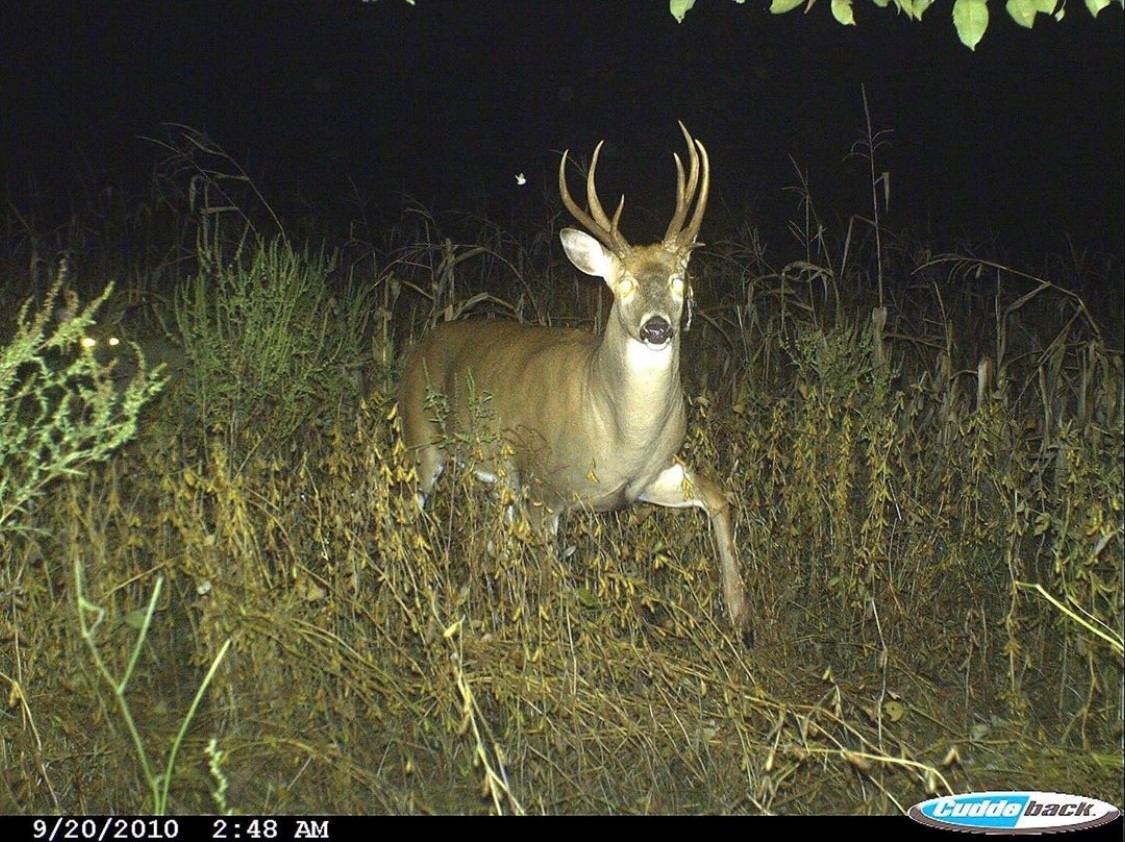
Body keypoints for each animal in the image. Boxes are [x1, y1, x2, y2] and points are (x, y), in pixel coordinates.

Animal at [397, 123, 749, 639]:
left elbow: (719, 498)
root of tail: (419, 344)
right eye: (622, 284)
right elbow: (552, 580)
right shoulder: (545, 490)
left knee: (493, 542)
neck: (619, 431)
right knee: (407, 508)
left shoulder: (649, 476)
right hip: (423, 441)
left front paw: (742, 616)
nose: (657, 328)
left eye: (680, 281)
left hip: (499, 478)